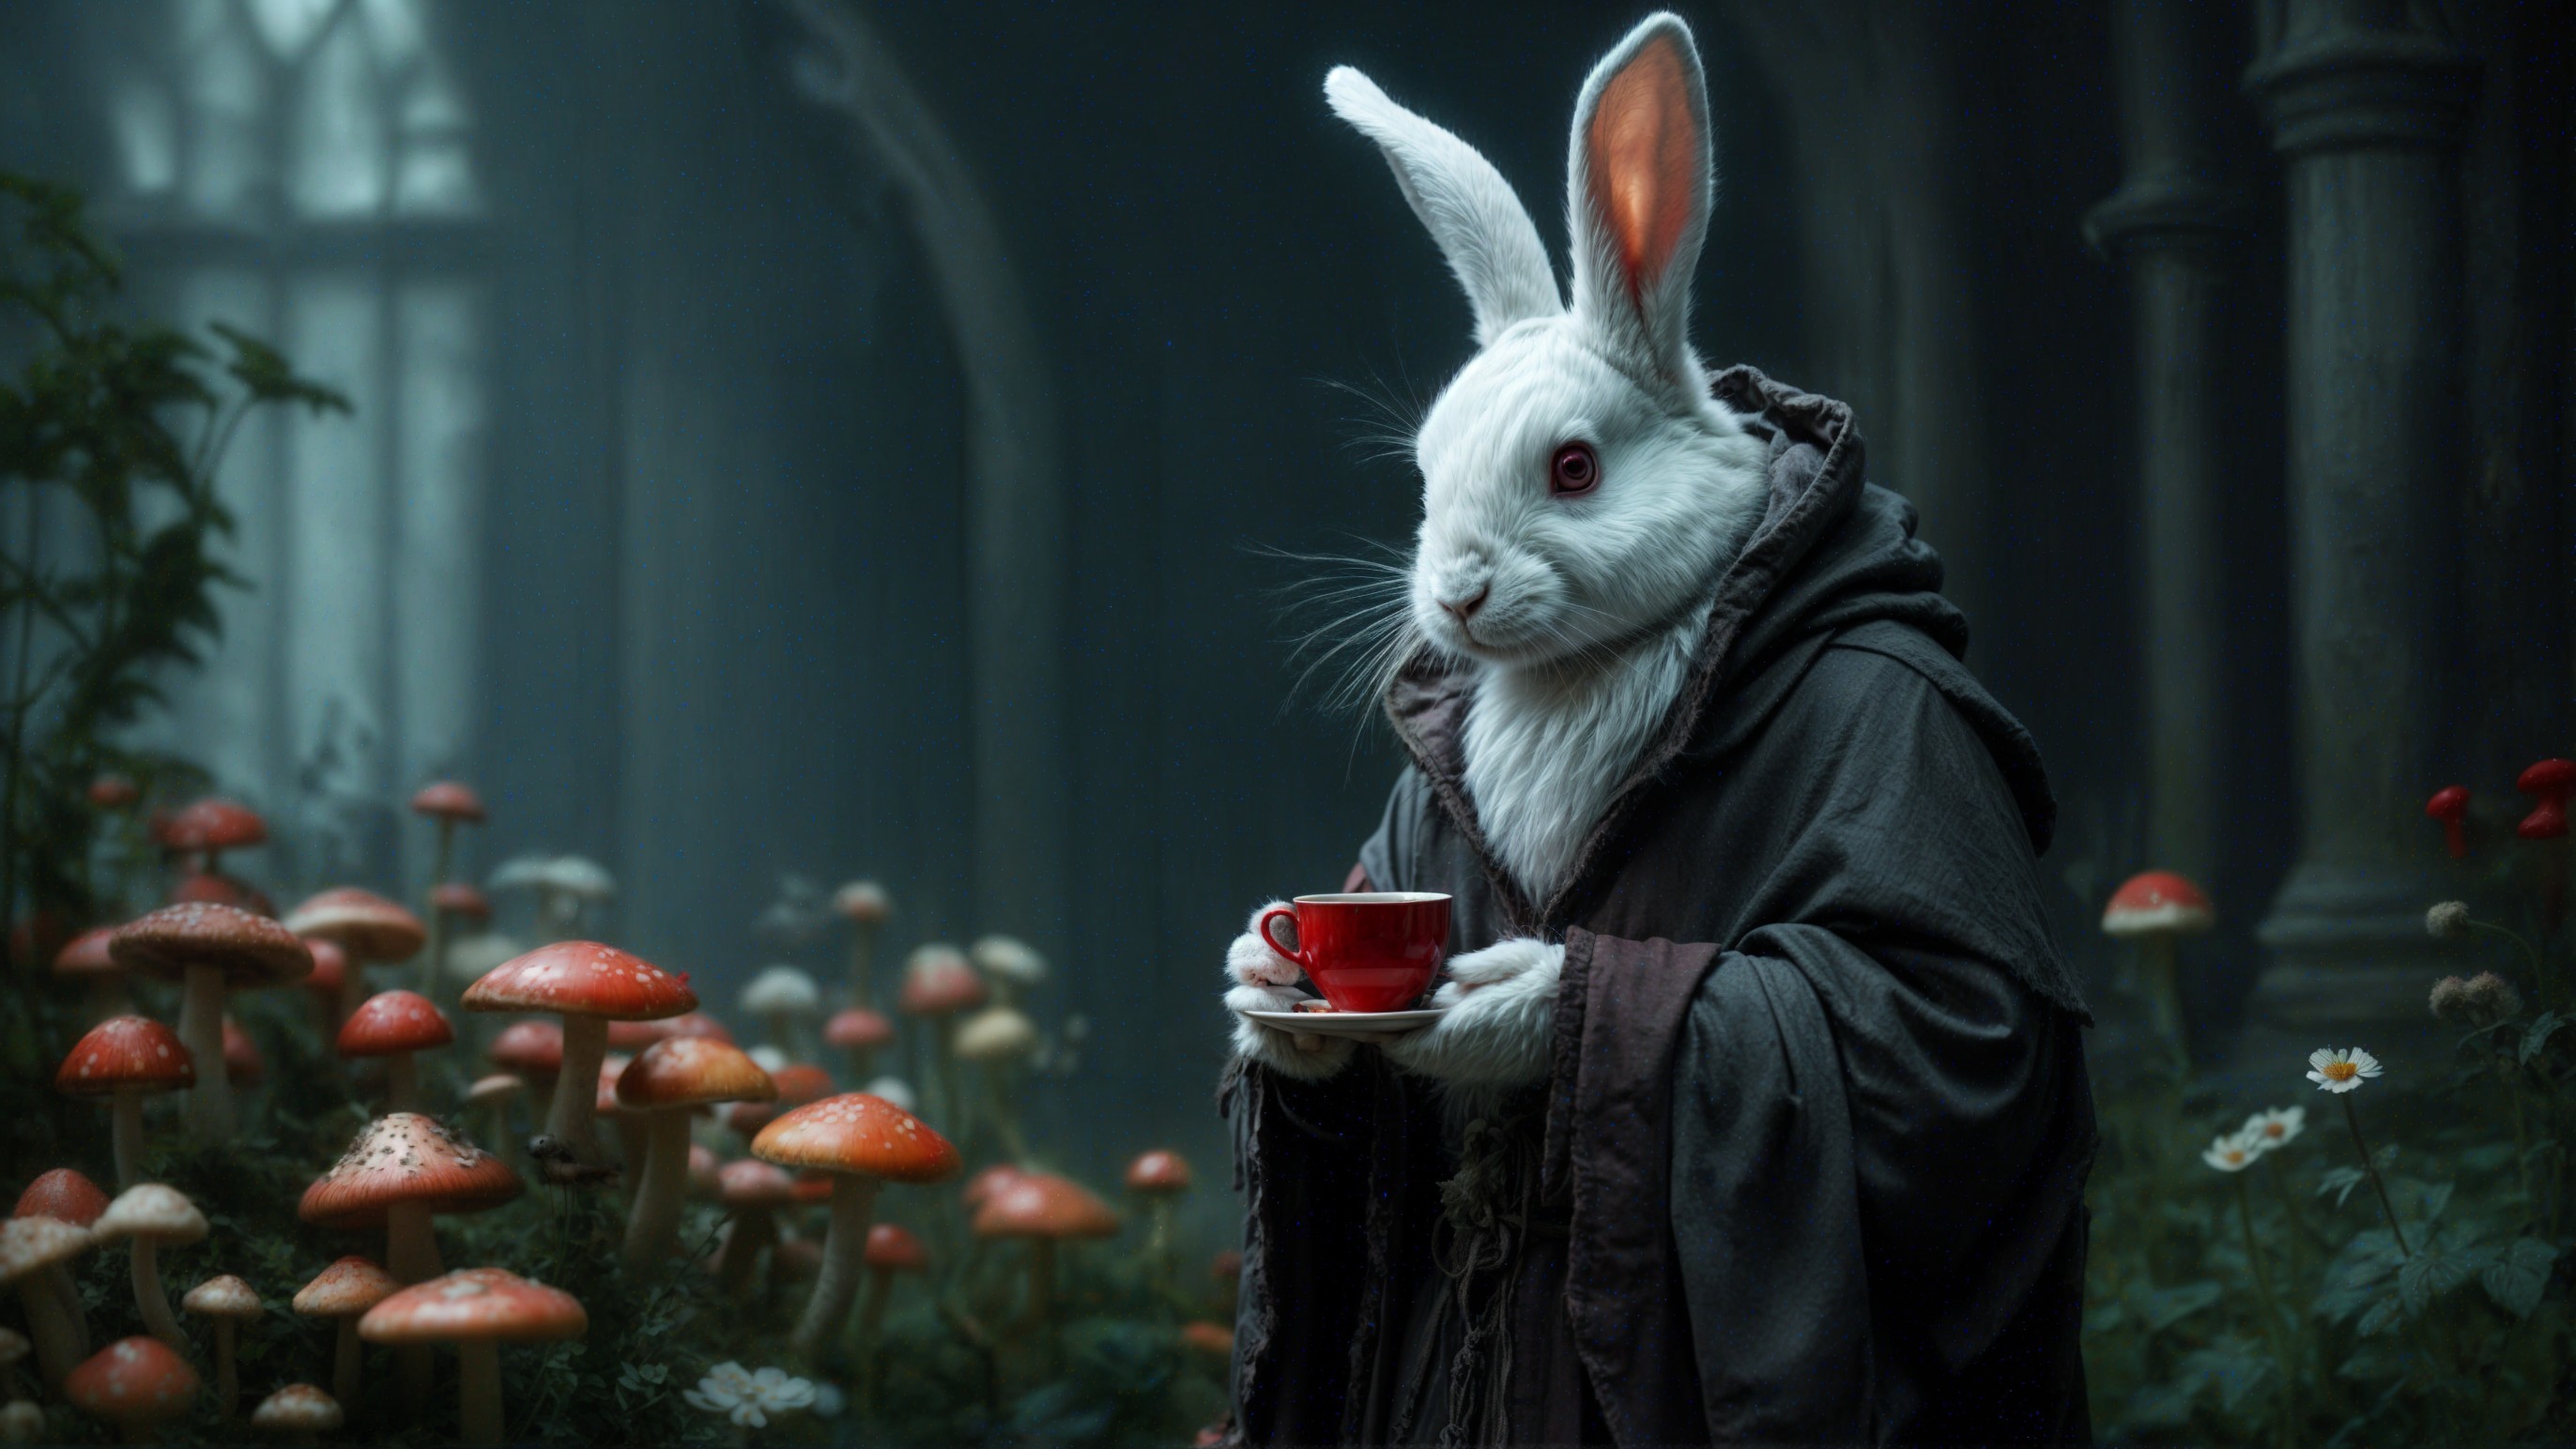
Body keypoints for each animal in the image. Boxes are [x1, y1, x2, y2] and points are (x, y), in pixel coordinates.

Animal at [1228, 14, 1766, 1093]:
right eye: (1427, 475)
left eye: (1574, 467)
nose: (1457, 594)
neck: (1575, 667)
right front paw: (1264, 973)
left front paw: (1505, 1000)